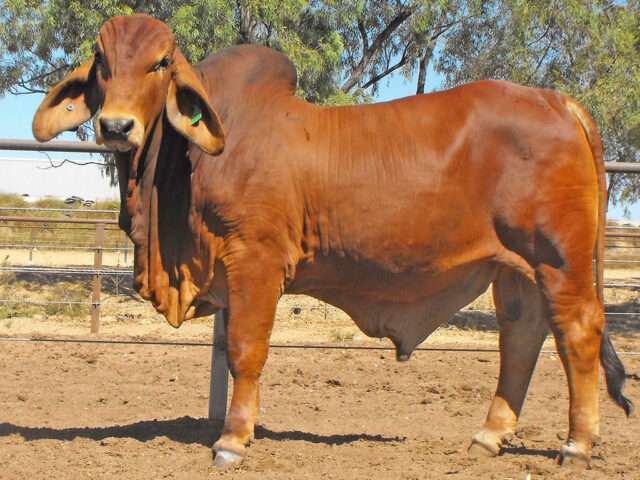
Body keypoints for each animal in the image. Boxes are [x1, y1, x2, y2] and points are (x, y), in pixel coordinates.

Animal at [32, 14, 631, 468]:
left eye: (160, 62)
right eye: (102, 63)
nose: (115, 127)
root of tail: (558, 102)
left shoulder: (255, 260)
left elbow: (246, 350)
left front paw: (232, 441)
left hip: (558, 257)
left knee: (577, 333)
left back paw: (576, 446)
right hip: (514, 267)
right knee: (522, 336)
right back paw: (487, 437)